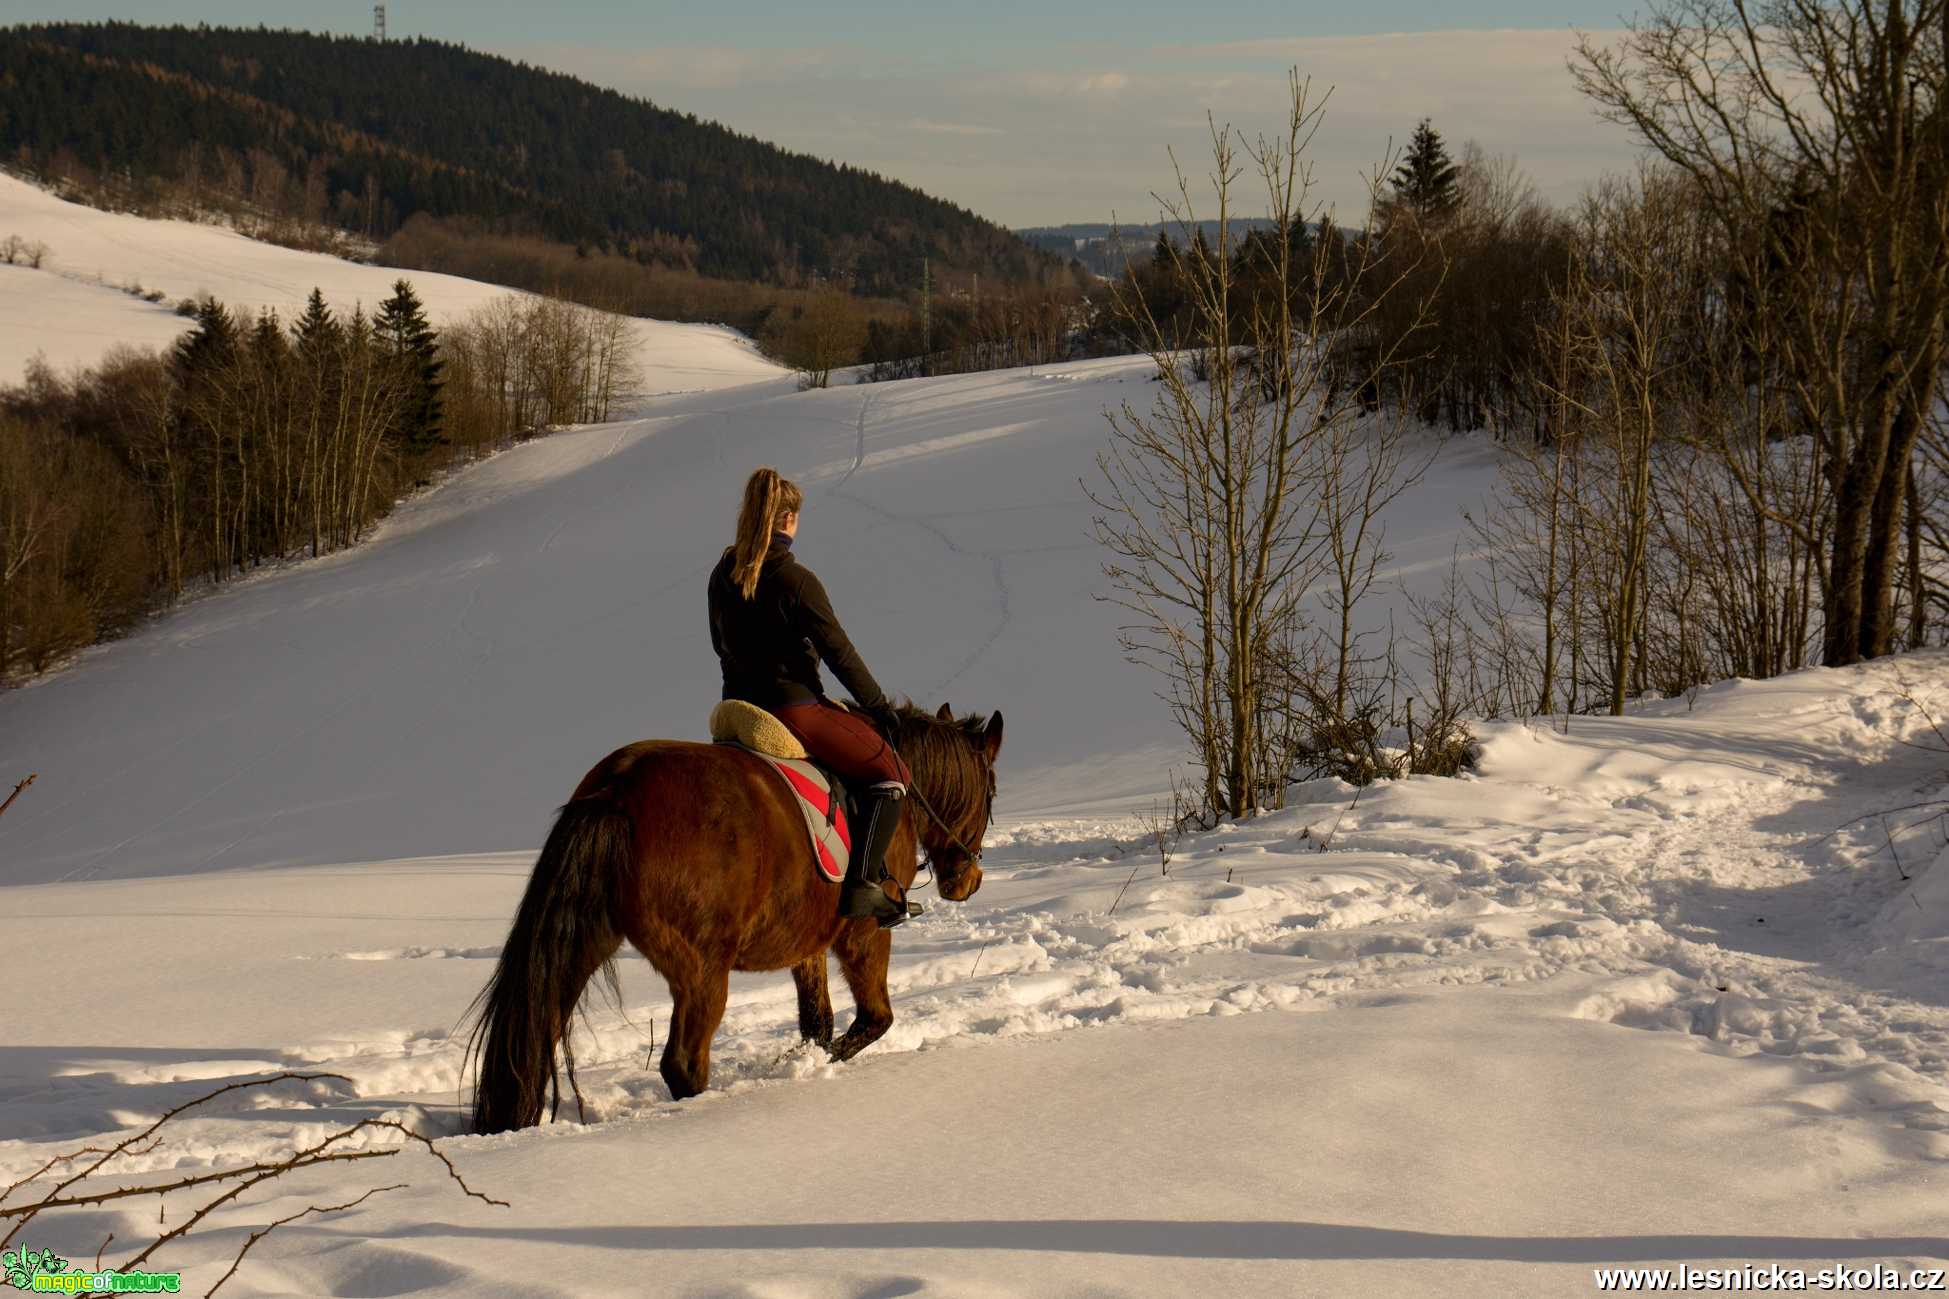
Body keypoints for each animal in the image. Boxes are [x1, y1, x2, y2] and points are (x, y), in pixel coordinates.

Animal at [463, 694, 997, 1131]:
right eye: (991, 793)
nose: (967, 881)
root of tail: (618, 789)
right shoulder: (863, 935)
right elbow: (873, 1021)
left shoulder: (807, 943)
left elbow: (818, 1025)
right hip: (702, 969)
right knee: (684, 1064)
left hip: (585, 942)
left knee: (541, 1033)